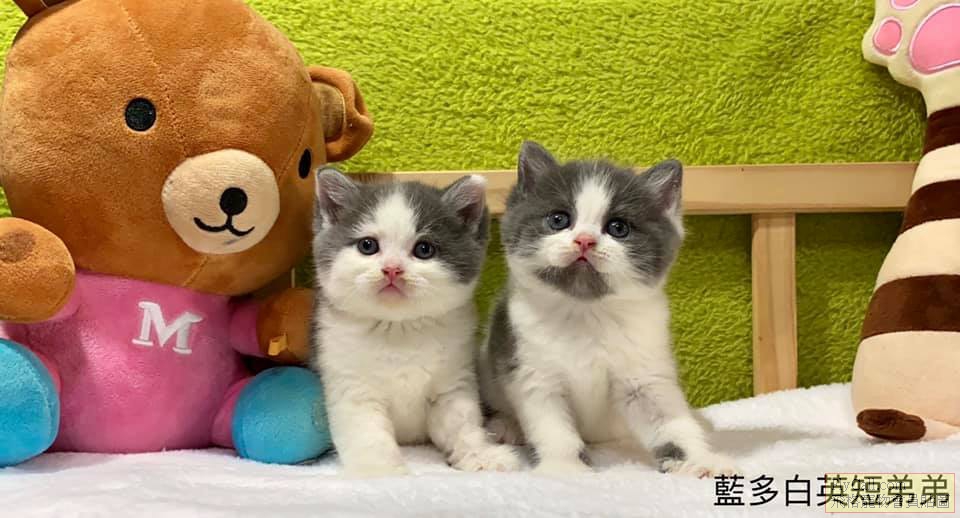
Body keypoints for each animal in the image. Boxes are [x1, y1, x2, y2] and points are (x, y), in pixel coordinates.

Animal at [310, 168, 521, 477]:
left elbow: (462, 422)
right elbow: (367, 432)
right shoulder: (351, 385)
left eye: (424, 249)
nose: (392, 269)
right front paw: (381, 470)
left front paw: (479, 453)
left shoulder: (454, 381)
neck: (399, 328)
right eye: (367, 245)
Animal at [477, 141, 738, 477]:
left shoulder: (645, 373)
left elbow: (670, 421)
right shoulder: (532, 370)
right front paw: (565, 467)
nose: (584, 240)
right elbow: (553, 427)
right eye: (559, 219)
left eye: (618, 228)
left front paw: (698, 460)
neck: (586, 313)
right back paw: (506, 425)